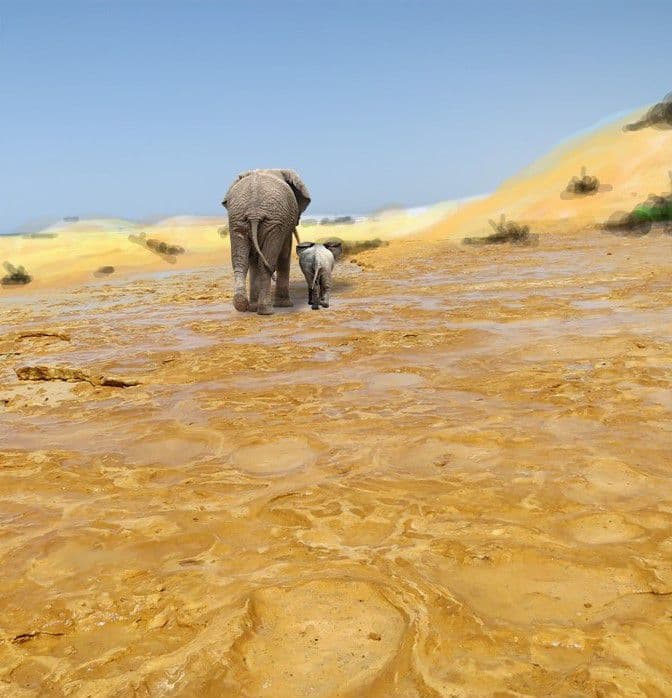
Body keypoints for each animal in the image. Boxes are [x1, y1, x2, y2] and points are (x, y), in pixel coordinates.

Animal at [223, 169, 312, 312]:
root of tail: (254, 212)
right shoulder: (283, 224)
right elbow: (285, 253)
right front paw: (285, 305)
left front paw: (253, 308)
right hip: (273, 222)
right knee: (268, 261)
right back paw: (267, 310)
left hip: (238, 220)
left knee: (241, 260)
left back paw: (242, 304)